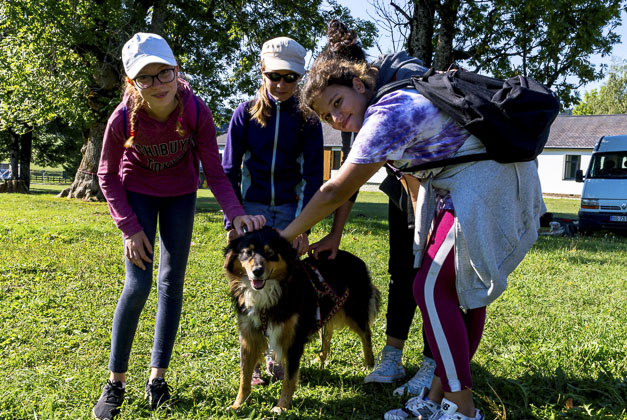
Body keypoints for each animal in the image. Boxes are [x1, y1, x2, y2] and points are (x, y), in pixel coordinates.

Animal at [226, 226, 382, 414]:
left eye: (271, 253)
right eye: (247, 252)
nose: (257, 271)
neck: (269, 293)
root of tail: (356, 259)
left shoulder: (294, 338)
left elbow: (289, 378)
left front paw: (282, 406)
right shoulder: (249, 336)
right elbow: (244, 375)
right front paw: (238, 404)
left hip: (354, 312)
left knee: (366, 335)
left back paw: (369, 364)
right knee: (327, 334)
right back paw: (320, 358)